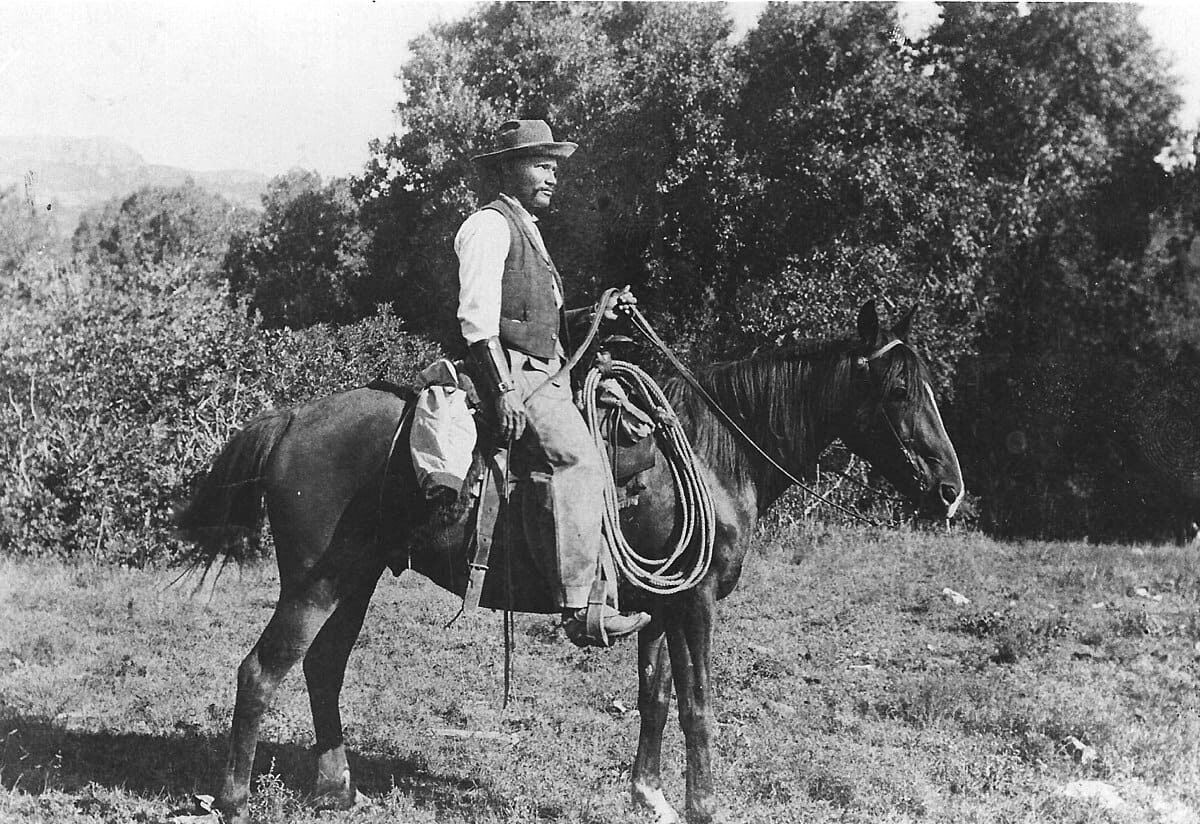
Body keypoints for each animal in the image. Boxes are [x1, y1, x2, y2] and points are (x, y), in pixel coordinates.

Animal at [175, 301, 964, 824]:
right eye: (898, 390)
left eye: (931, 385)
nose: (951, 490)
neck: (713, 455)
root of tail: (292, 419)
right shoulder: (698, 602)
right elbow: (699, 706)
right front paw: (704, 805)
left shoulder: (660, 602)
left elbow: (655, 698)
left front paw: (649, 796)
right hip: (316, 582)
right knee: (262, 670)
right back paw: (235, 799)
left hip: (357, 578)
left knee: (322, 666)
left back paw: (339, 787)